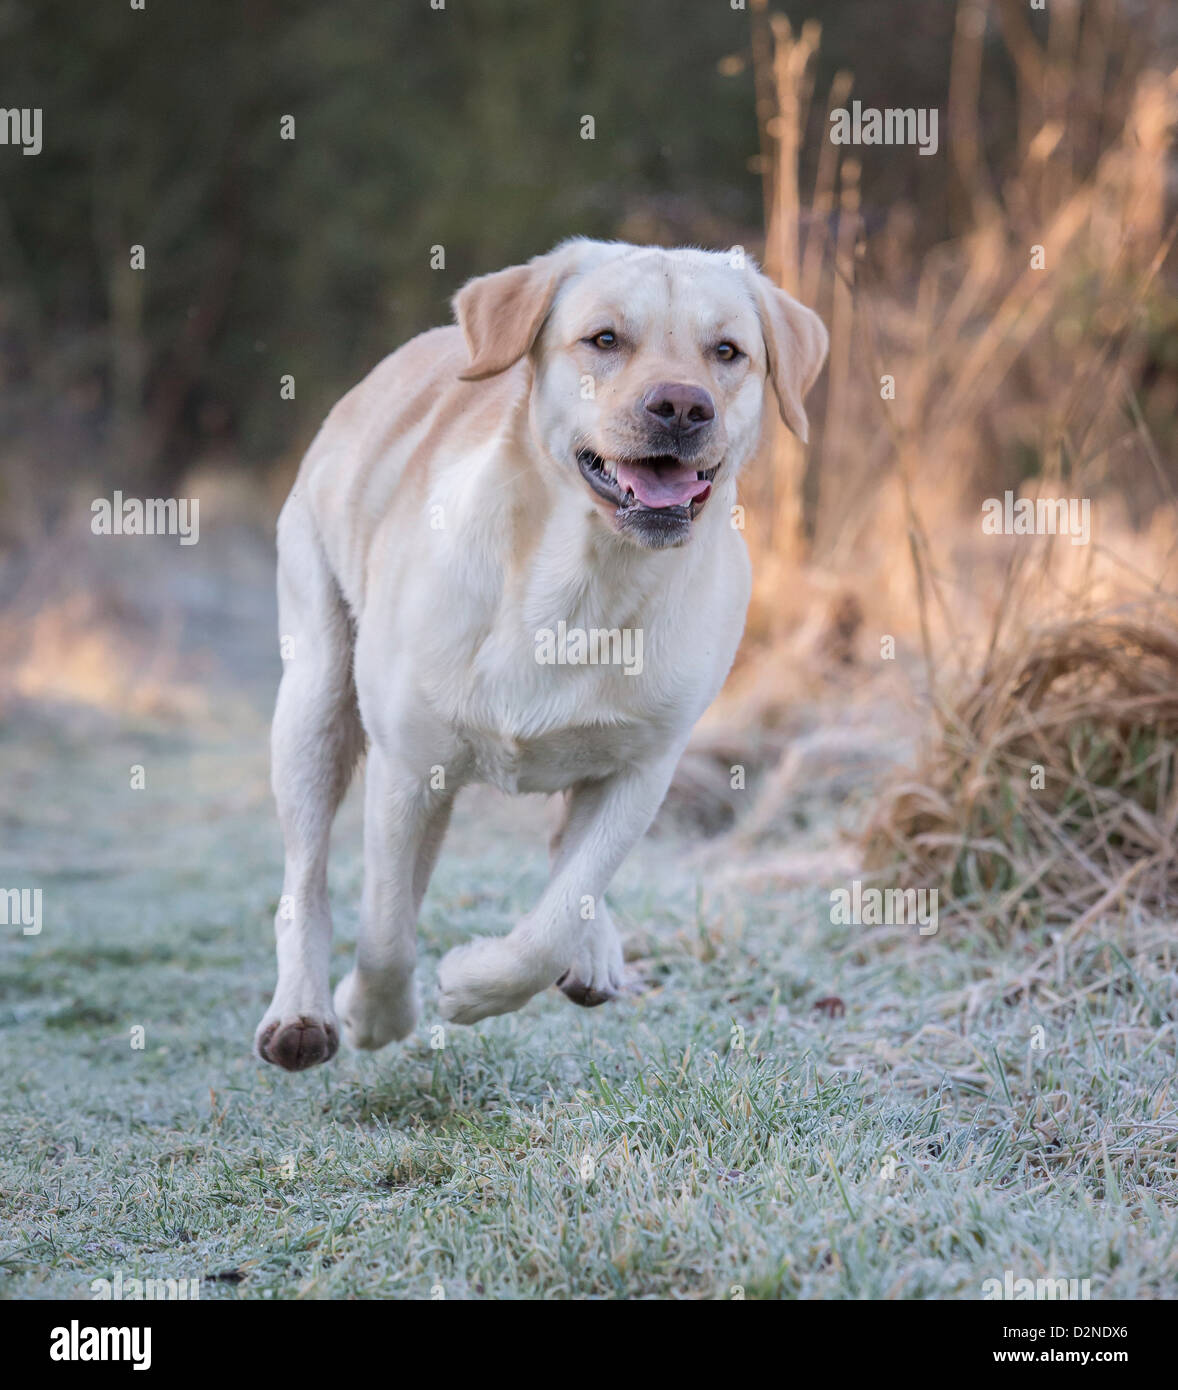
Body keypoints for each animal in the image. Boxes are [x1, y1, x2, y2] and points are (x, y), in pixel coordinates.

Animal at [258, 239, 828, 1067]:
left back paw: (592, 954)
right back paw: (301, 1012)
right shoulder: (408, 768)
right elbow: (388, 924)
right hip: (315, 694)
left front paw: (475, 984)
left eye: (728, 352)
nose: (683, 406)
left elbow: (559, 913)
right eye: (604, 339)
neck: (582, 582)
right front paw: (373, 1014)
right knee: (305, 872)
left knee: (565, 862)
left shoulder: (642, 770)